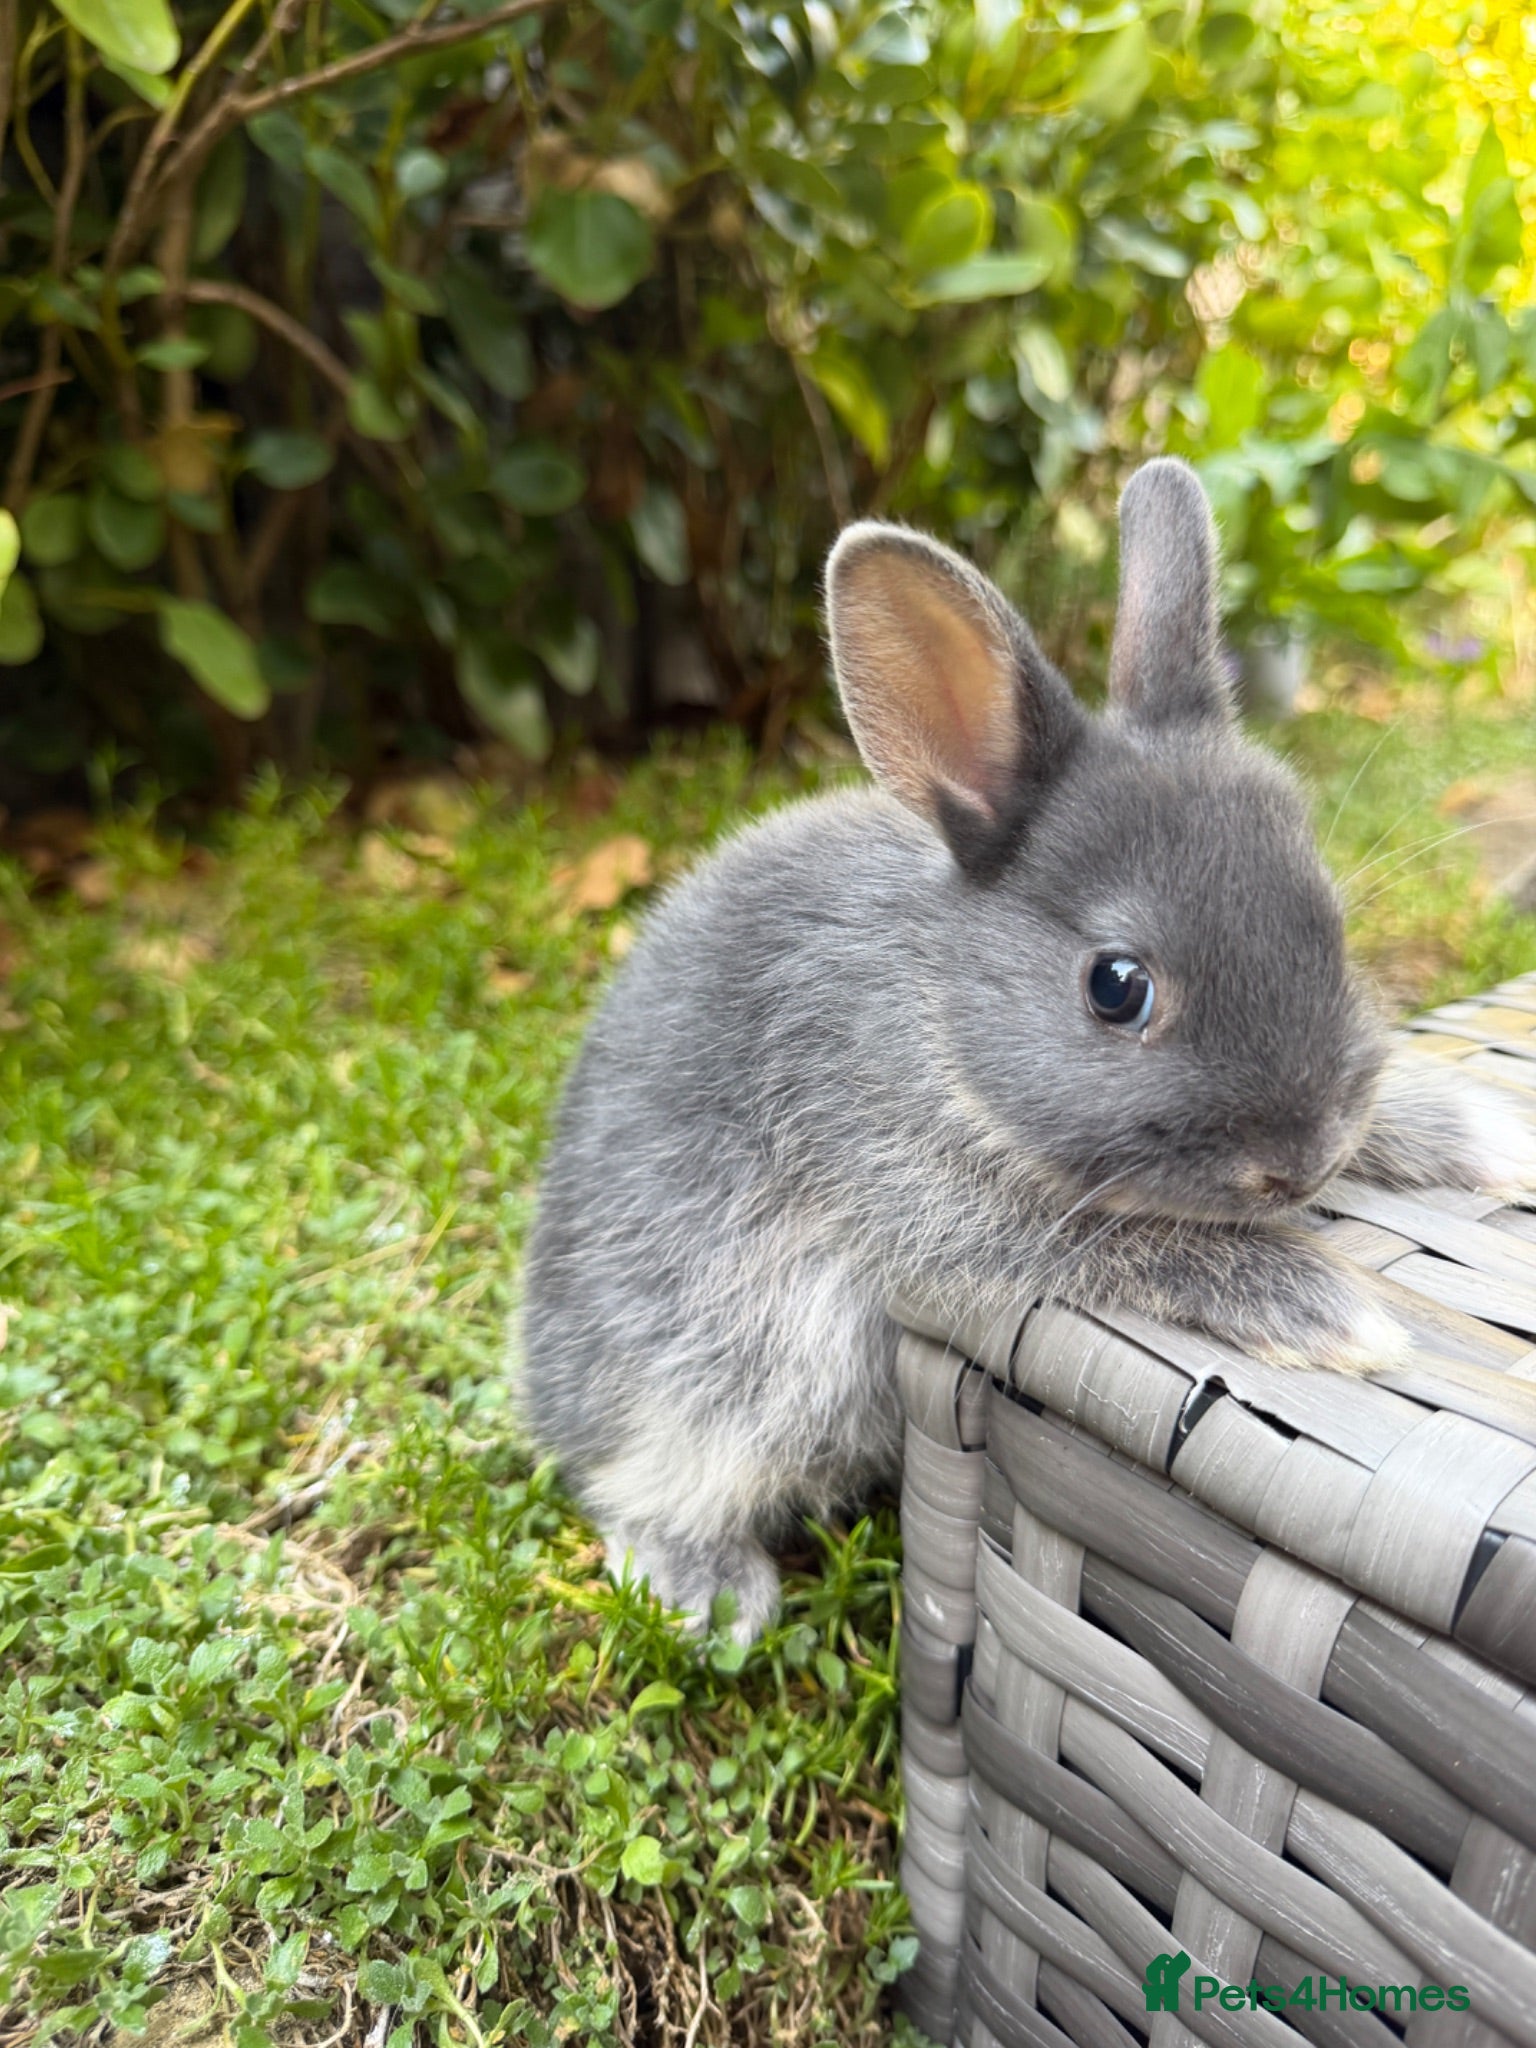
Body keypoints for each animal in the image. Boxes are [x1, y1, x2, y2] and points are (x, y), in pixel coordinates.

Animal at [518, 458, 1536, 1644]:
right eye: (1117, 987)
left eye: (1328, 921)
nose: (1306, 1160)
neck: (940, 1015)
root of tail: (544, 1386)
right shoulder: (928, 1193)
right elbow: (1129, 1240)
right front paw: (1331, 1311)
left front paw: (1485, 1136)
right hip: (725, 1367)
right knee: (643, 1478)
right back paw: (711, 1592)